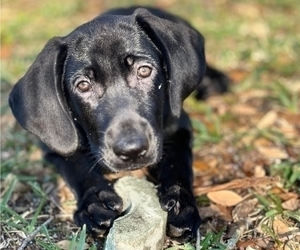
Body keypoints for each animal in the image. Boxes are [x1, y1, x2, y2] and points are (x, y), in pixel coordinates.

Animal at [9, 6, 229, 241]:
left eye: (144, 71)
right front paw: (95, 200)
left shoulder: (178, 125)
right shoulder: (54, 143)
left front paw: (181, 201)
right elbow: (76, 164)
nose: (132, 151)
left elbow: (178, 160)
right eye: (83, 85)